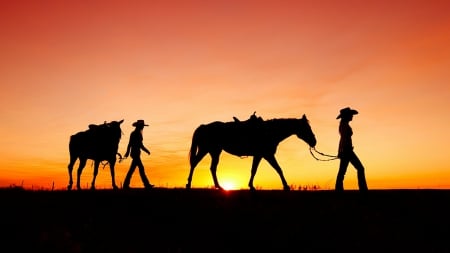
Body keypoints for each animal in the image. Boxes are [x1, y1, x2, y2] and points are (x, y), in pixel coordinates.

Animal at [186, 114, 316, 190]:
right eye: (306, 128)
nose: (314, 142)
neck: (269, 131)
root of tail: (203, 126)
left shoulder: (259, 155)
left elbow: (254, 170)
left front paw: (251, 186)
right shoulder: (267, 154)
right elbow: (278, 169)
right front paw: (286, 186)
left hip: (215, 152)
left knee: (212, 168)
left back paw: (219, 186)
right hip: (205, 149)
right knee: (194, 163)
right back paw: (188, 184)